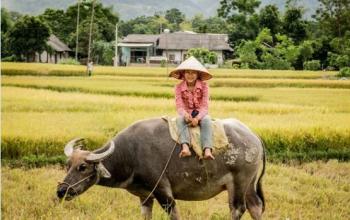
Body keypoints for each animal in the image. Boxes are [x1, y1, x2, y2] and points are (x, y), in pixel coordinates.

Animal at [56, 118, 266, 220]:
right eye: (68, 165)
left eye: (82, 167)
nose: (61, 191)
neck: (131, 153)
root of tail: (253, 136)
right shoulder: (145, 196)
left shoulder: (163, 192)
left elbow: (173, 214)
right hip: (248, 185)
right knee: (255, 207)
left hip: (238, 184)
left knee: (237, 209)